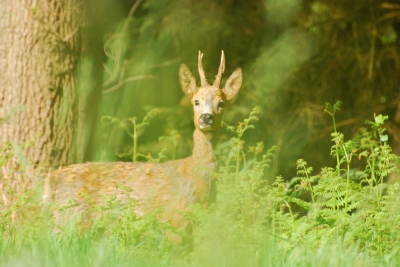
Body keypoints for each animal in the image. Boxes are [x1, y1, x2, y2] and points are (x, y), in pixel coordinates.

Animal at [44, 51, 244, 240]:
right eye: (196, 101)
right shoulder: (174, 220)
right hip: (69, 218)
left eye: (221, 103)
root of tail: (49, 182)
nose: (206, 117)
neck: (197, 182)